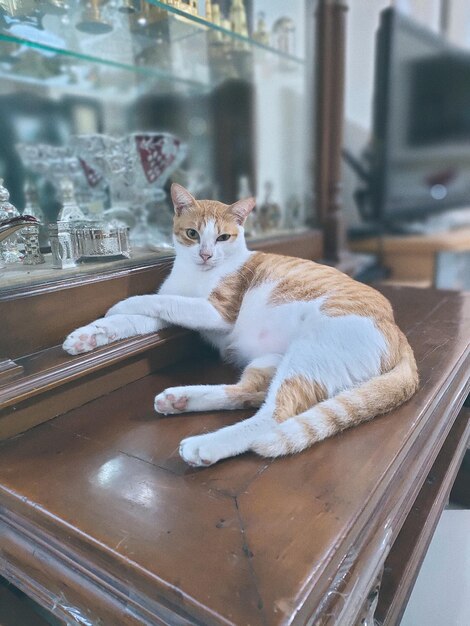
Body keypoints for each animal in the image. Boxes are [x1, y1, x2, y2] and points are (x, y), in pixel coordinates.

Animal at [62, 183, 418, 466]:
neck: (197, 274)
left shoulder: (214, 312)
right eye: (192, 234)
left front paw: (119, 304)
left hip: (311, 353)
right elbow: (137, 318)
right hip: (269, 362)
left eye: (223, 237)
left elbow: (155, 301)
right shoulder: (179, 312)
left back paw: (205, 445)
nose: (206, 254)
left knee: (274, 416)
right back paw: (180, 399)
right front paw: (88, 336)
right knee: (248, 393)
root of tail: (399, 332)